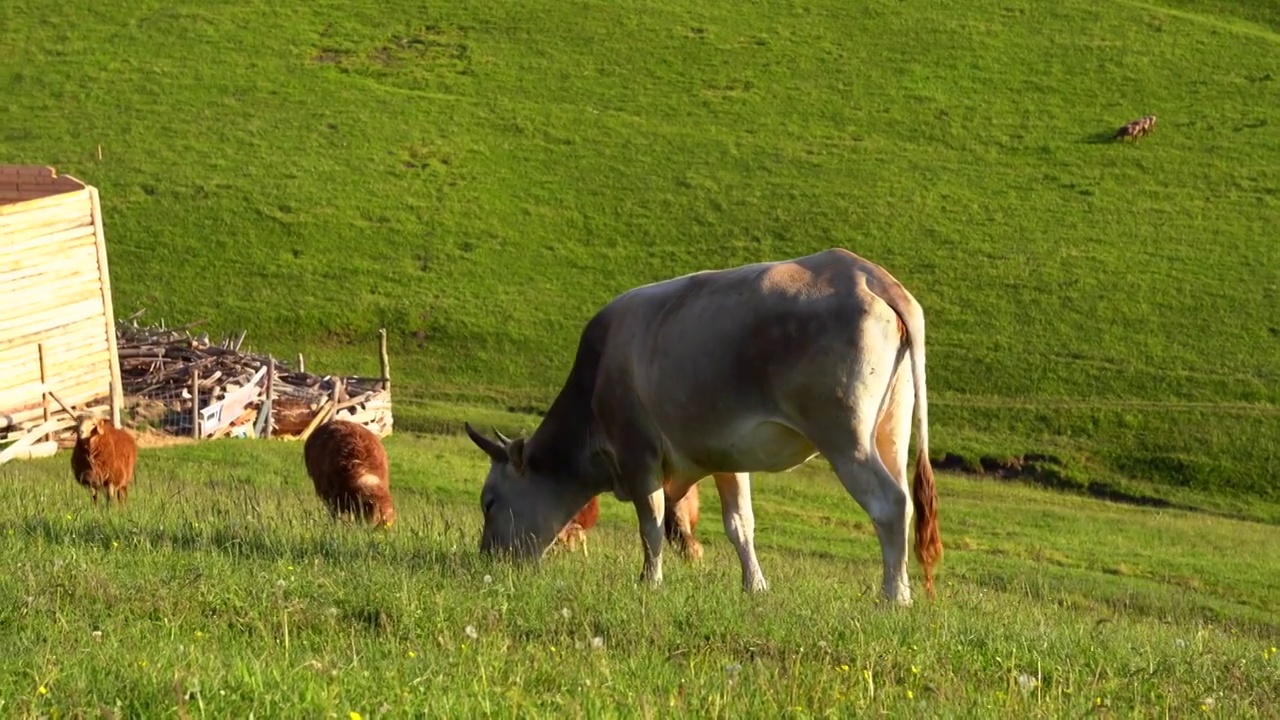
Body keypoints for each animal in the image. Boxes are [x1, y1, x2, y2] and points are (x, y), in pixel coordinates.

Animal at [468, 249, 942, 602]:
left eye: (489, 502)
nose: (486, 561)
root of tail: (865, 273)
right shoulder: (727, 457)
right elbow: (740, 525)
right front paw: (755, 587)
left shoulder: (637, 453)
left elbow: (652, 523)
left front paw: (650, 582)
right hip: (890, 432)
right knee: (904, 499)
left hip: (847, 438)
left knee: (890, 503)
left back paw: (893, 597)